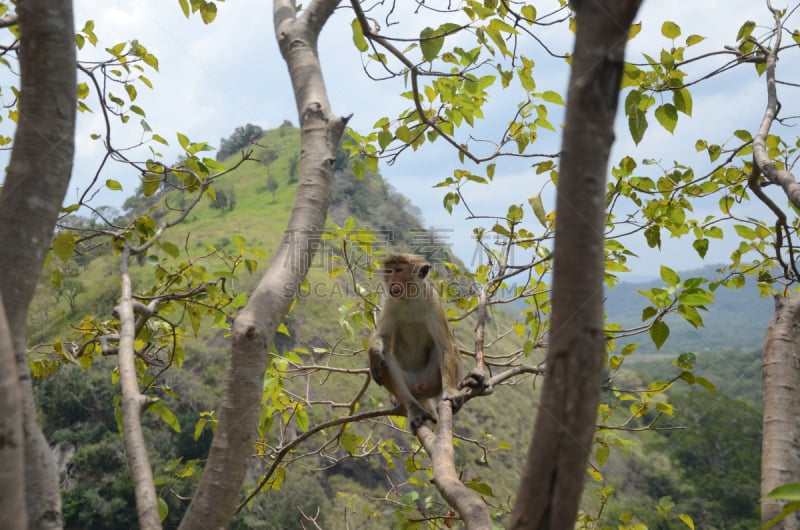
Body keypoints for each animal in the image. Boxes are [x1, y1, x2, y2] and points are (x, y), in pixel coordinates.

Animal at [368, 252, 466, 428]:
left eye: (399, 270)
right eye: (389, 271)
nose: (391, 281)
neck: (409, 299)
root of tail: (421, 387)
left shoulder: (433, 302)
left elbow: (445, 347)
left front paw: (451, 391)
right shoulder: (390, 302)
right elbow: (382, 339)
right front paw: (374, 354)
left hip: (433, 381)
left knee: (446, 349)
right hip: (410, 385)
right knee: (385, 359)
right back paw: (413, 408)